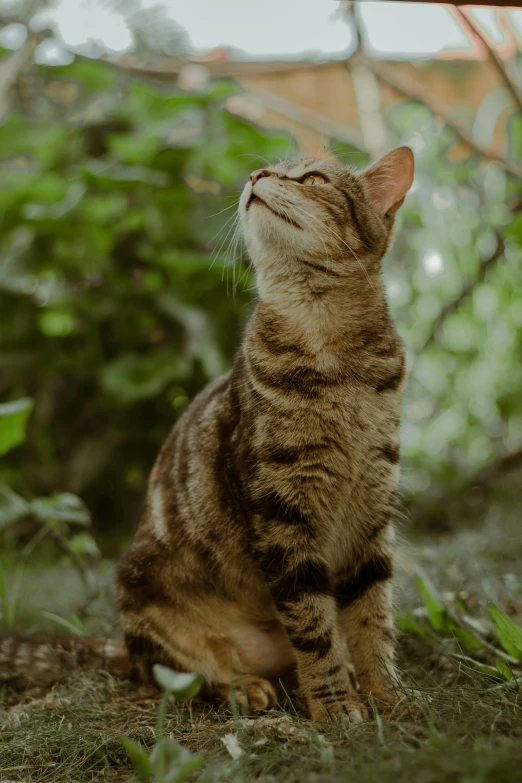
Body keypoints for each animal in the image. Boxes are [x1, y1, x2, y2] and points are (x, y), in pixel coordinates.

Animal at [115, 144, 414, 720]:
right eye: (270, 168)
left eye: (314, 179)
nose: (255, 175)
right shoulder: (281, 515)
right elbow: (314, 629)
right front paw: (335, 708)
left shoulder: (373, 511)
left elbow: (372, 622)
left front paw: (387, 695)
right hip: (138, 590)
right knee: (179, 675)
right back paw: (245, 688)